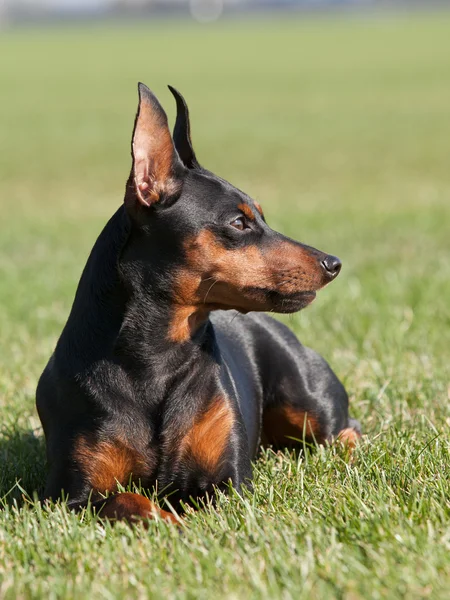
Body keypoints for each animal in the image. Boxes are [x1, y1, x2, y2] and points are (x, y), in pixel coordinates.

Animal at [35, 82, 360, 524]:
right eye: (239, 223)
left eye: (261, 216)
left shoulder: (228, 483)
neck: (156, 357)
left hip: (309, 403)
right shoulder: (69, 499)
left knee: (345, 429)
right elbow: (130, 499)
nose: (333, 263)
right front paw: (169, 521)